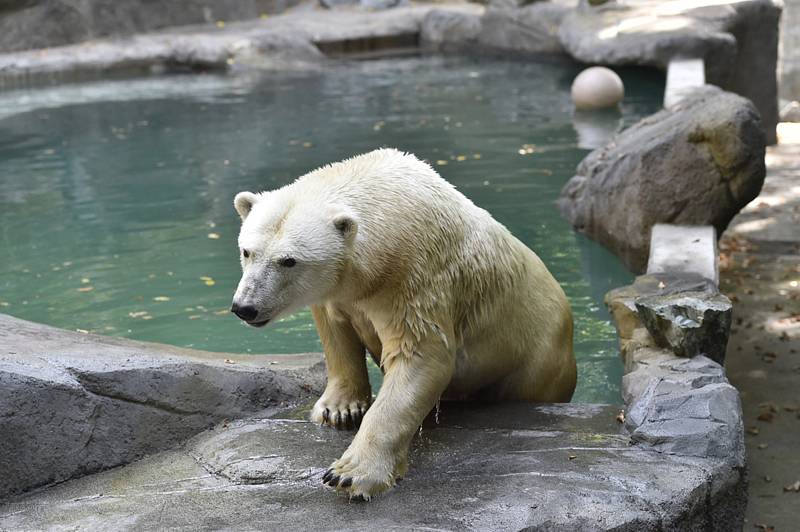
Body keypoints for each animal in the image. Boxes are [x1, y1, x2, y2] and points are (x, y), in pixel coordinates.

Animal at [231, 149, 576, 498]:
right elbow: (335, 330)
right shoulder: (345, 292)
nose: (245, 307)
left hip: (536, 357)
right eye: (247, 251)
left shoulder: (415, 275)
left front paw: (351, 473)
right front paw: (338, 408)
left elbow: (420, 356)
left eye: (289, 260)